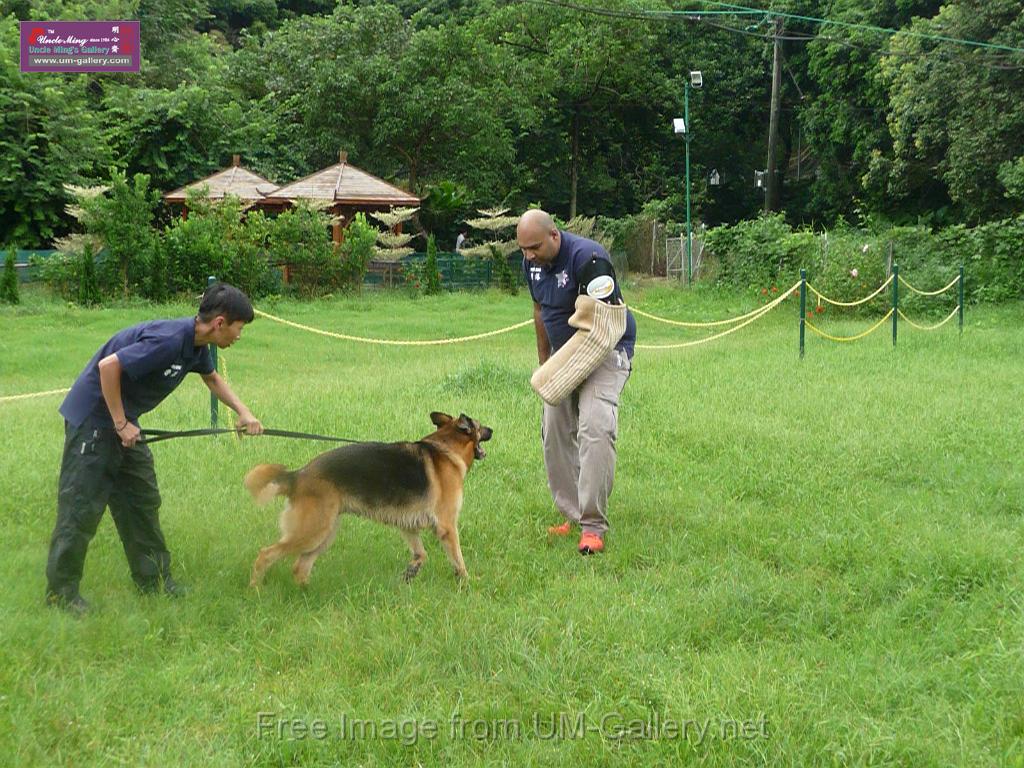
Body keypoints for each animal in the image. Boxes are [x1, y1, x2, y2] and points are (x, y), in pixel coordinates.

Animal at [243, 415, 491, 589]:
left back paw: (306, 594)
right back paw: (256, 589)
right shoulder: (447, 527)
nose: (493, 430)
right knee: (266, 555)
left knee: (300, 567)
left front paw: (410, 573)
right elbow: (458, 560)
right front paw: (467, 581)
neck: (446, 448)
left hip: (324, 534)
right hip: (312, 532)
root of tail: (297, 476)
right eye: (480, 427)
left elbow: (421, 554)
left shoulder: (408, 525)